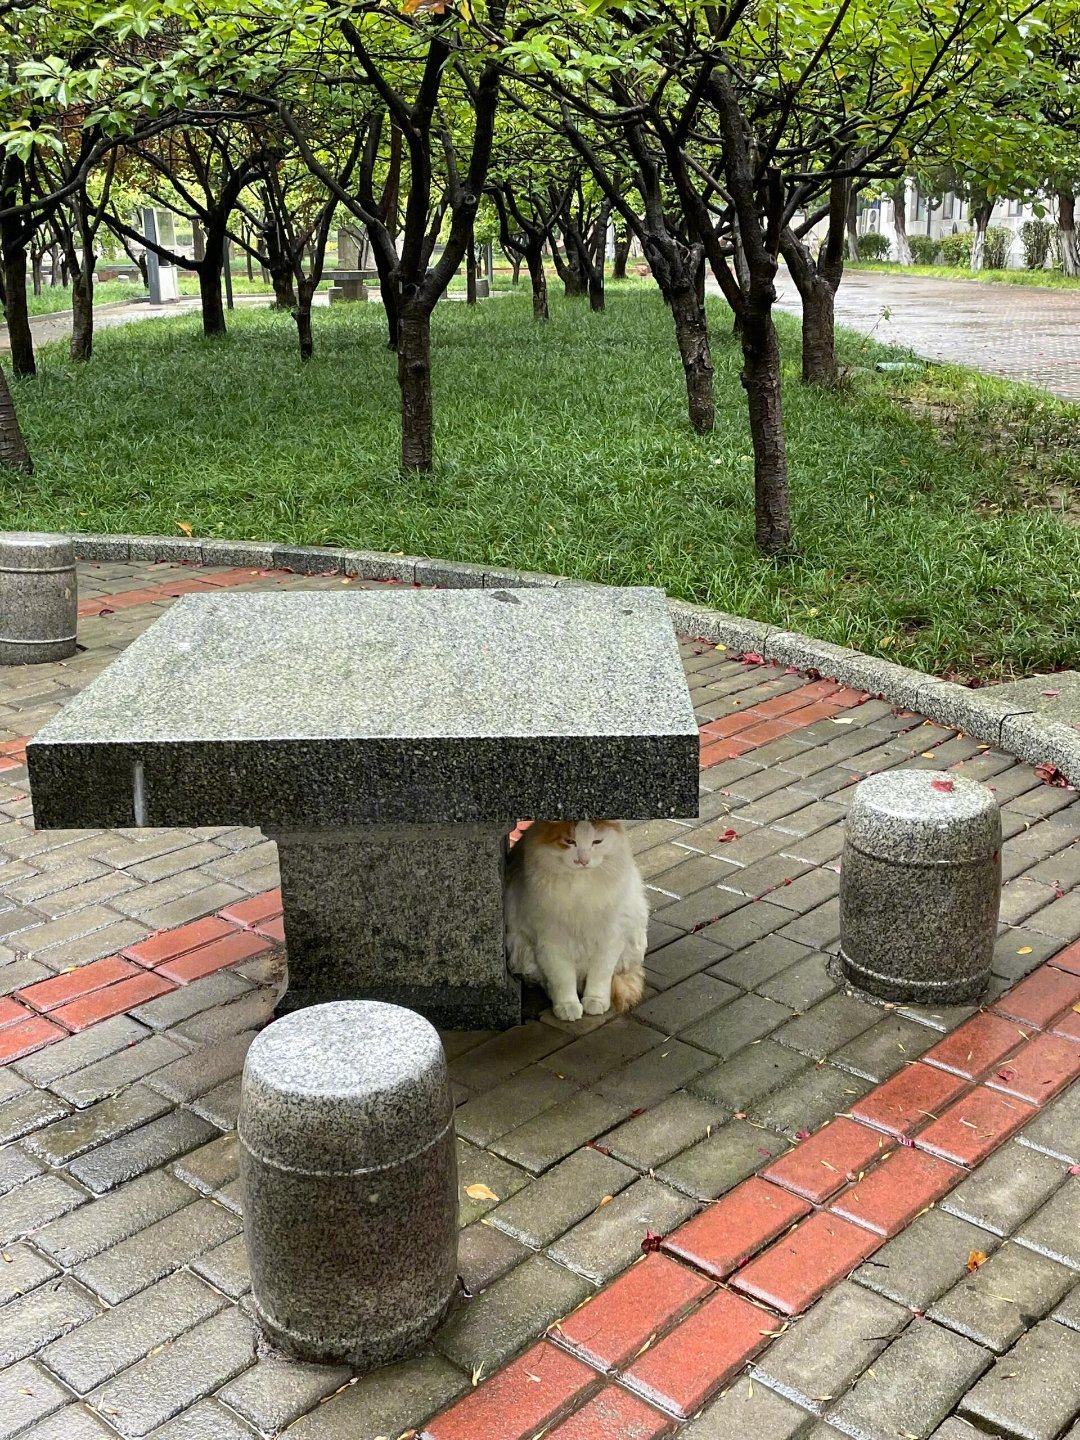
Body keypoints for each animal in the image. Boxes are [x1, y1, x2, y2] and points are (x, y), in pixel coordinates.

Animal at [504, 823, 648, 1025]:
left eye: (597, 841)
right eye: (570, 841)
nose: (583, 860)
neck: (581, 887)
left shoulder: (610, 937)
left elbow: (600, 975)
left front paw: (595, 1001)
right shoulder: (550, 942)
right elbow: (562, 978)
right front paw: (567, 1006)